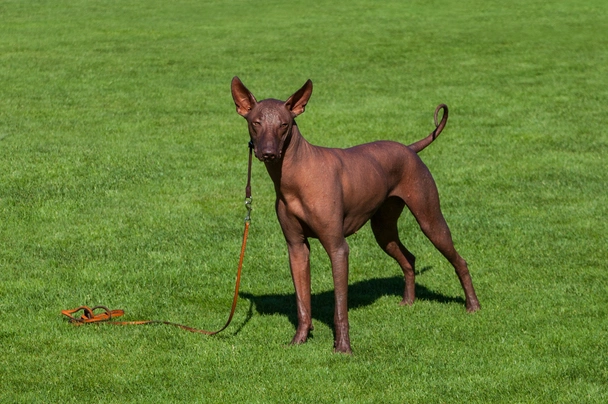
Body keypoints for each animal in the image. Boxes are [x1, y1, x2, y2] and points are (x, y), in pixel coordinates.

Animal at [232, 76, 480, 354]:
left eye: (284, 125)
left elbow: (340, 306)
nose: (268, 153)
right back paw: (408, 302)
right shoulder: (296, 248)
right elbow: (302, 303)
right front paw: (299, 340)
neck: (295, 178)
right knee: (409, 258)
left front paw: (343, 348)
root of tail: (408, 148)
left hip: (430, 219)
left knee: (460, 261)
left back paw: (473, 306)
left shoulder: (338, 248)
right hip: (383, 229)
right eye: (256, 123)